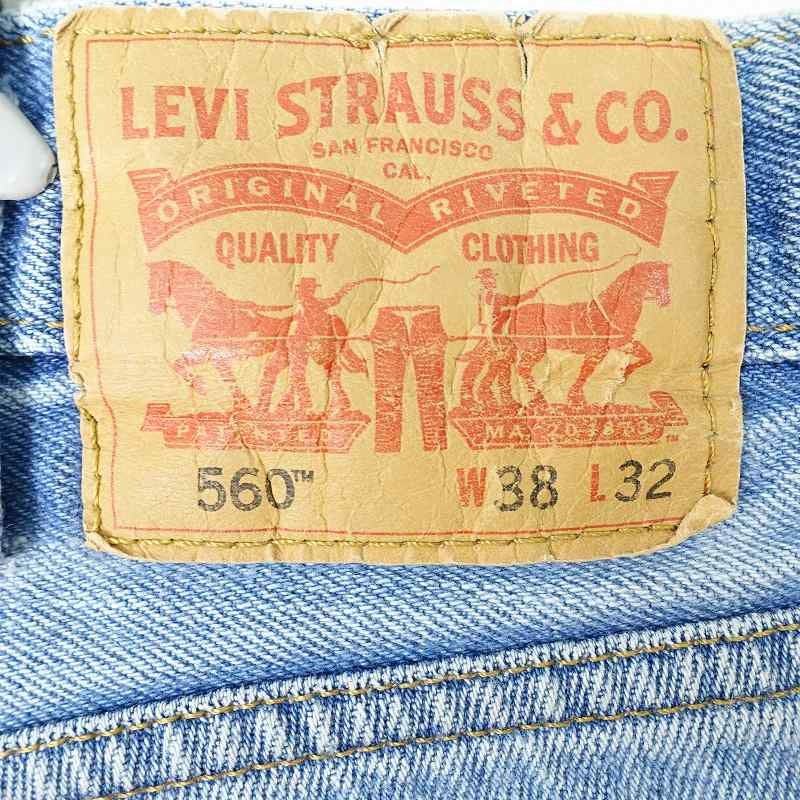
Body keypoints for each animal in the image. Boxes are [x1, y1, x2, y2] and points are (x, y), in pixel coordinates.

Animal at [147, 260, 293, 411]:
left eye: (155, 280)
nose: (154, 308)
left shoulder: (214, 356)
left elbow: (228, 379)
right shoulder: (213, 357)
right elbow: (179, 364)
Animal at [507, 261, 671, 407]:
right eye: (657, 278)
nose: (666, 301)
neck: (610, 310)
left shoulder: (621, 344)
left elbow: (647, 355)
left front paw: (625, 372)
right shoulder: (596, 351)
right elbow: (585, 373)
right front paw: (577, 399)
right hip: (535, 349)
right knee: (522, 368)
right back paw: (538, 399)